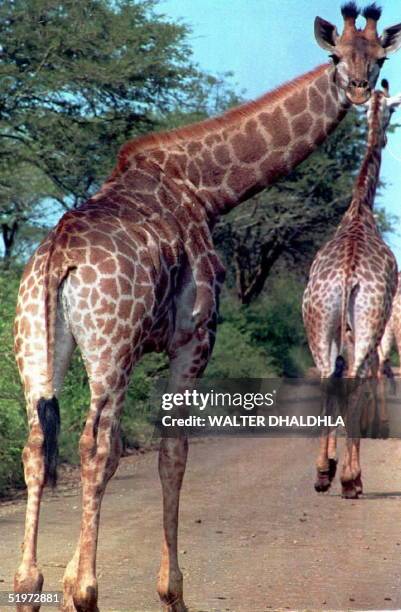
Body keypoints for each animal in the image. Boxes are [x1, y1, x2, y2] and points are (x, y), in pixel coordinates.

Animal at [11, 4, 400, 612]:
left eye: (379, 57)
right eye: (337, 56)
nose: (361, 89)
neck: (206, 187)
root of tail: (55, 259)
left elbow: (138, 452)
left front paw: (72, 576)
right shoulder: (194, 338)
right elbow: (172, 452)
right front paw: (170, 592)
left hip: (35, 344)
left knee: (37, 445)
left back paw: (31, 585)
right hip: (110, 349)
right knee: (92, 446)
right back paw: (89, 593)